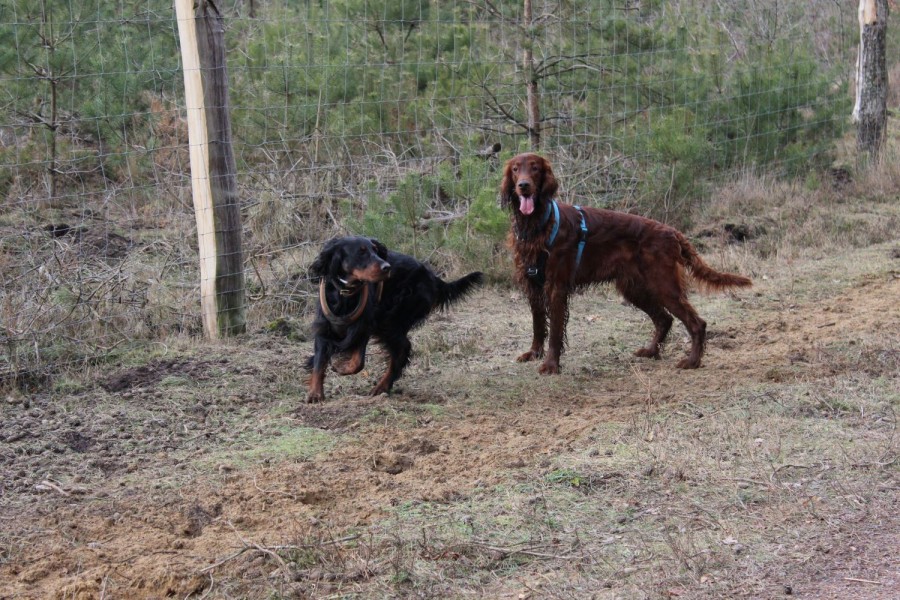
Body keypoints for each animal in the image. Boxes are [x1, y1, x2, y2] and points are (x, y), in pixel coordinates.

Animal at [305, 236, 483, 403]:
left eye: (376, 250)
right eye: (361, 252)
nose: (387, 267)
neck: (345, 293)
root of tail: (432, 276)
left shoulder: (364, 327)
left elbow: (358, 362)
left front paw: (340, 367)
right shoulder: (324, 328)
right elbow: (320, 362)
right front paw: (315, 394)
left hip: (390, 321)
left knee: (402, 349)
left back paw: (382, 387)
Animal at [502, 152, 752, 374]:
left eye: (535, 168)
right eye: (515, 169)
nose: (523, 185)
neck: (537, 225)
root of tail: (672, 231)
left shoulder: (557, 286)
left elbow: (554, 330)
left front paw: (551, 365)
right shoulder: (533, 284)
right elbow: (538, 324)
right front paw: (534, 353)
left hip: (664, 286)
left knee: (696, 323)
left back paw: (692, 361)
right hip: (634, 288)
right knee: (665, 319)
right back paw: (651, 351)